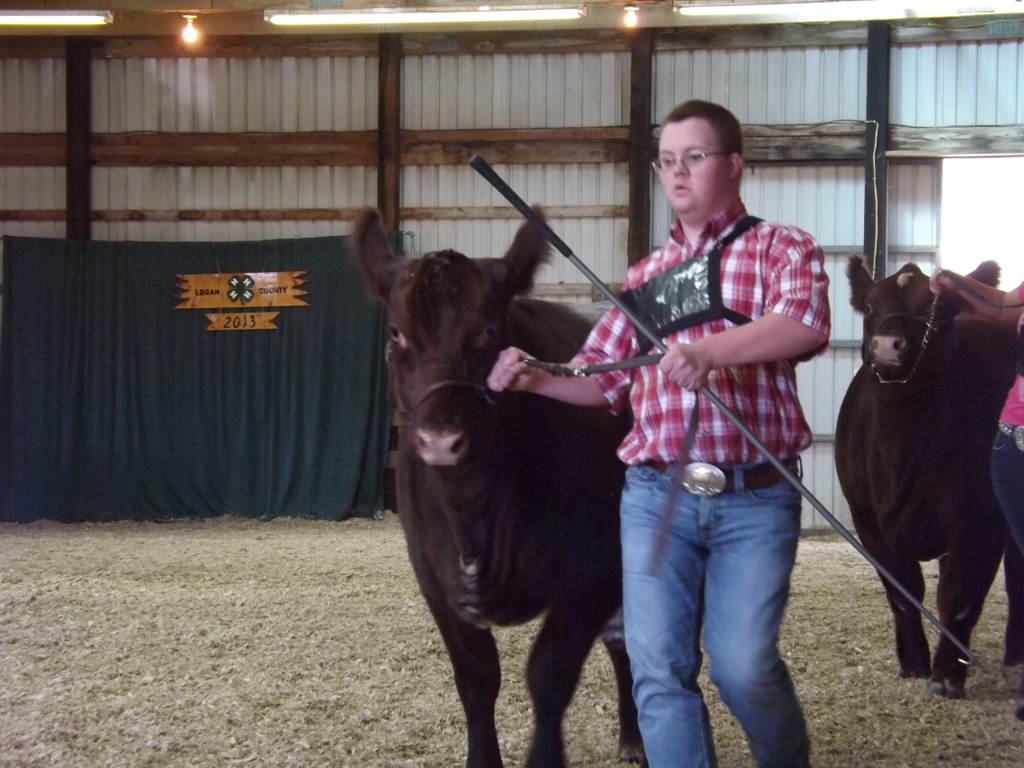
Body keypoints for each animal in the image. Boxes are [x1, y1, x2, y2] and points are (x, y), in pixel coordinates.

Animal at [349, 207, 644, 768]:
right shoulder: (433, 575)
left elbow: (548, 675)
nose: (440, 439)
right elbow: (477, 680)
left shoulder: (595, 567)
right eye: (396, 332)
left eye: (487, 329)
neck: (476, 512)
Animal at [835, 256, 1024, 702]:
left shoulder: (981, 519)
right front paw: (914, 663)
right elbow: (904, 592)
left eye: (932, 309)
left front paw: (948, 675)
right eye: (870, 305)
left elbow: (958, 595)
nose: (887, 346)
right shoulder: (867, 520)